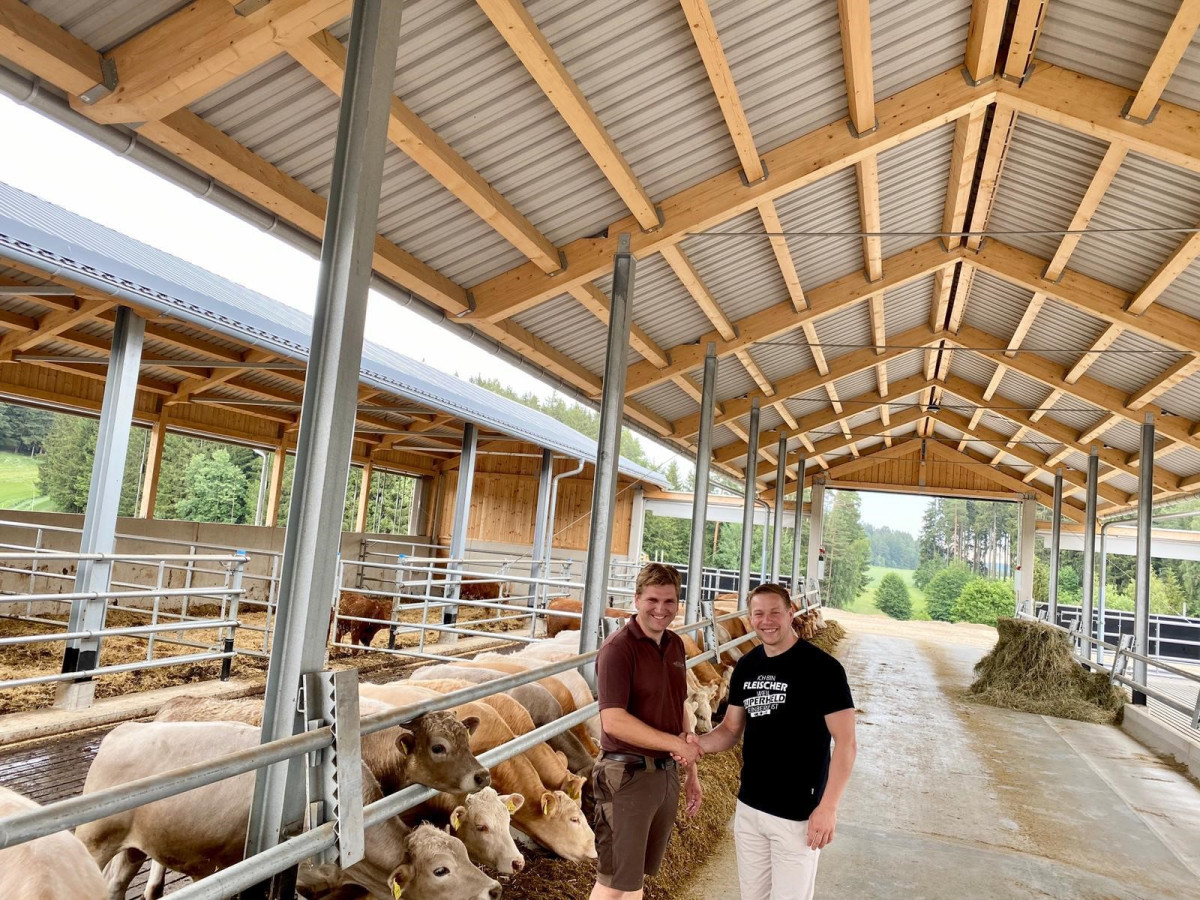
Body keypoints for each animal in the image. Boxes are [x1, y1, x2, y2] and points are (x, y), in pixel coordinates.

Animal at [76, 724, 496, 900]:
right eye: (441, 870)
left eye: (464, 854)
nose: (493, 889)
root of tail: (125, 730)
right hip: (94, 841)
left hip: (133, 848)